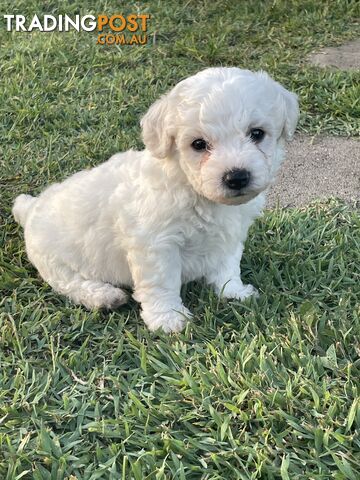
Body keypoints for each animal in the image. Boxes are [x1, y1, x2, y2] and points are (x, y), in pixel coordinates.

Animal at [12, 67, 298, 332]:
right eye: (198, 144)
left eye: (257, 133)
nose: (237, 177)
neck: (193, 191)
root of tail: (31, 208)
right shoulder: (156, 245)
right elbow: (162, 283)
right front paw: (168, 318)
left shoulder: (229, 235)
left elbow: (227, 266)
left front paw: (233, 292)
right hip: (53, 261)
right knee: (71, 283)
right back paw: (104, 296)